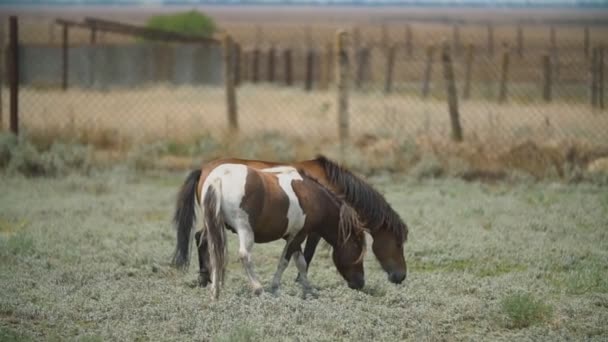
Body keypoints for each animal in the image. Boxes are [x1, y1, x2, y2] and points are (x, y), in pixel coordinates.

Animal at [175, 155, 408, 286]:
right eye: (398, 243)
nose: (401, 276)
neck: (328, 185)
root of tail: (204, 170)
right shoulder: (313, 231)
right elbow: (307, 254)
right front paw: (298, 280)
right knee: (202, 240)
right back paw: (204, 278)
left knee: (201, 238)